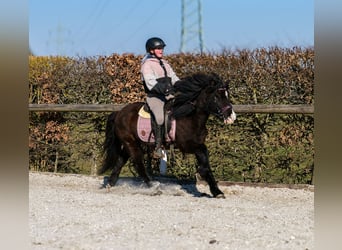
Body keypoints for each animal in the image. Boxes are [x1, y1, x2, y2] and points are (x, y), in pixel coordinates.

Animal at [99, 72, 235, 197]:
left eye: (227, 95)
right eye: (216, 96)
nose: (231, 116)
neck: (189, 116)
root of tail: (119, 113)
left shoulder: (198, 144)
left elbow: (205, 161)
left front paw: (216, 190)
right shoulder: (188, 146)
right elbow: (204, 162)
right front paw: (215, 189)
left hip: (130, 143)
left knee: (120, 161)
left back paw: (110, 184)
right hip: (130, 143)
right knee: (138, 164)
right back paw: (153, 186)